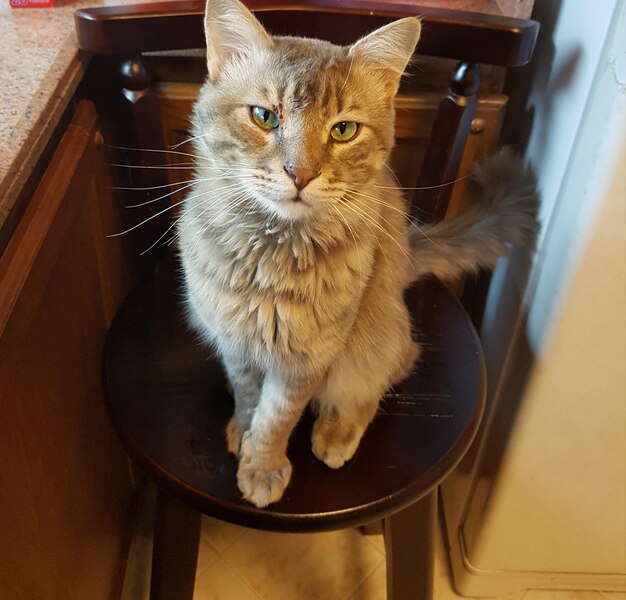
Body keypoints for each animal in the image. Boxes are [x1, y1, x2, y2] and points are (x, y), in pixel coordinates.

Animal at [176, 0, 536, 508]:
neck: (270, 256)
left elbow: (276, 417)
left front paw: (262, 464)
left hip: (373, 337)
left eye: (343, 130)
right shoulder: (236, 342)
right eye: (265, 117)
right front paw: (242, 432)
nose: (300, 174)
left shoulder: (308, 358)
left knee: (391, 368)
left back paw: (337, 431)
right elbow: (249, 399)